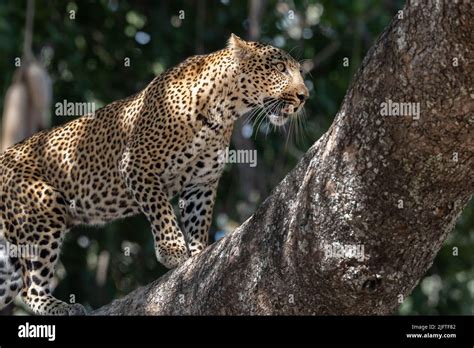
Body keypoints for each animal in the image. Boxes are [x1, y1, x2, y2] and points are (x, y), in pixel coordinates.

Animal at [0, 34, 310, 316]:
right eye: (280, 68)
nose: (304, 96)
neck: (223, 111)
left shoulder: (201, 184)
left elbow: (198, 221)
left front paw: (198, 255)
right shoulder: (137, 165)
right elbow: (162, 212)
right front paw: (173, 253)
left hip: (8, 258)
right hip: (43, 207)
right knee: (31, 288)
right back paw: (59, 306)